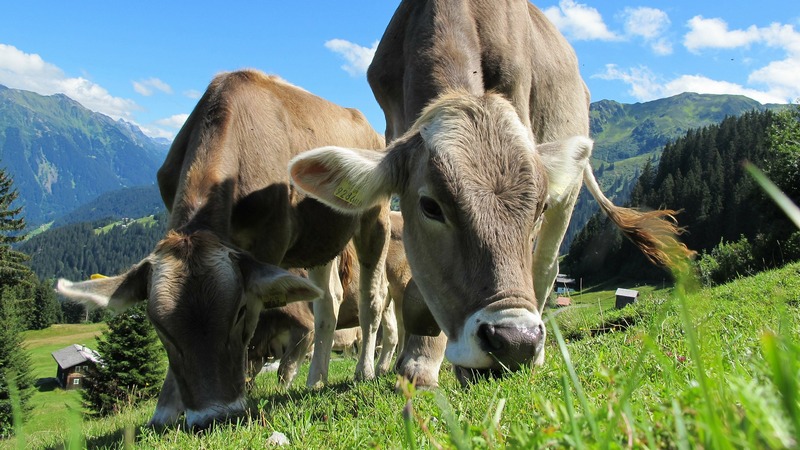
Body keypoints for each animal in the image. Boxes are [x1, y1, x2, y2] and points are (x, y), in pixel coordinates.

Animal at [56, 69, 390, 428]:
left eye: (239, 312)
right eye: (158, 326)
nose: (212, 416)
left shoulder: (269, 244)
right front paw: (166, 410)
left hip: (374, 218)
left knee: (372, 298)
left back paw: (364, 371)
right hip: (320, 240)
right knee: (328, 302)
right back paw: (316, 379)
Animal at [289, 0, 691, 387]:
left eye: (538, 207)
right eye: (430, 206)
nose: (516, 342)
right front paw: (420, 361)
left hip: (570, 187)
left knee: (546, 266)